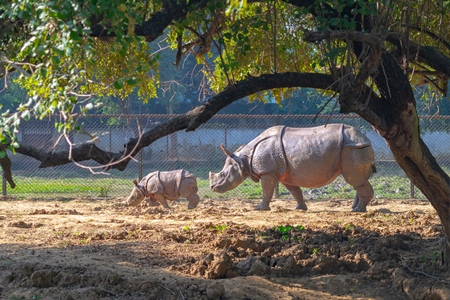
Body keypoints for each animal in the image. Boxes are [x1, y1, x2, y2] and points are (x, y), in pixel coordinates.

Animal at [210, 123, 376, 212]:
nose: (212, 188)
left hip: (352, 148)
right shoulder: (284, 174)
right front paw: (300, 208)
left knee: (355, 180)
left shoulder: (267, 172)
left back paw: (358, 210)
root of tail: (366, 139)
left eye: (223, 175)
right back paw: (355, 208)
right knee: (358, 181)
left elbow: (266, 191)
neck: (243, 158)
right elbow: (295, 191)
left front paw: (260, 208)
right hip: (354, 147)